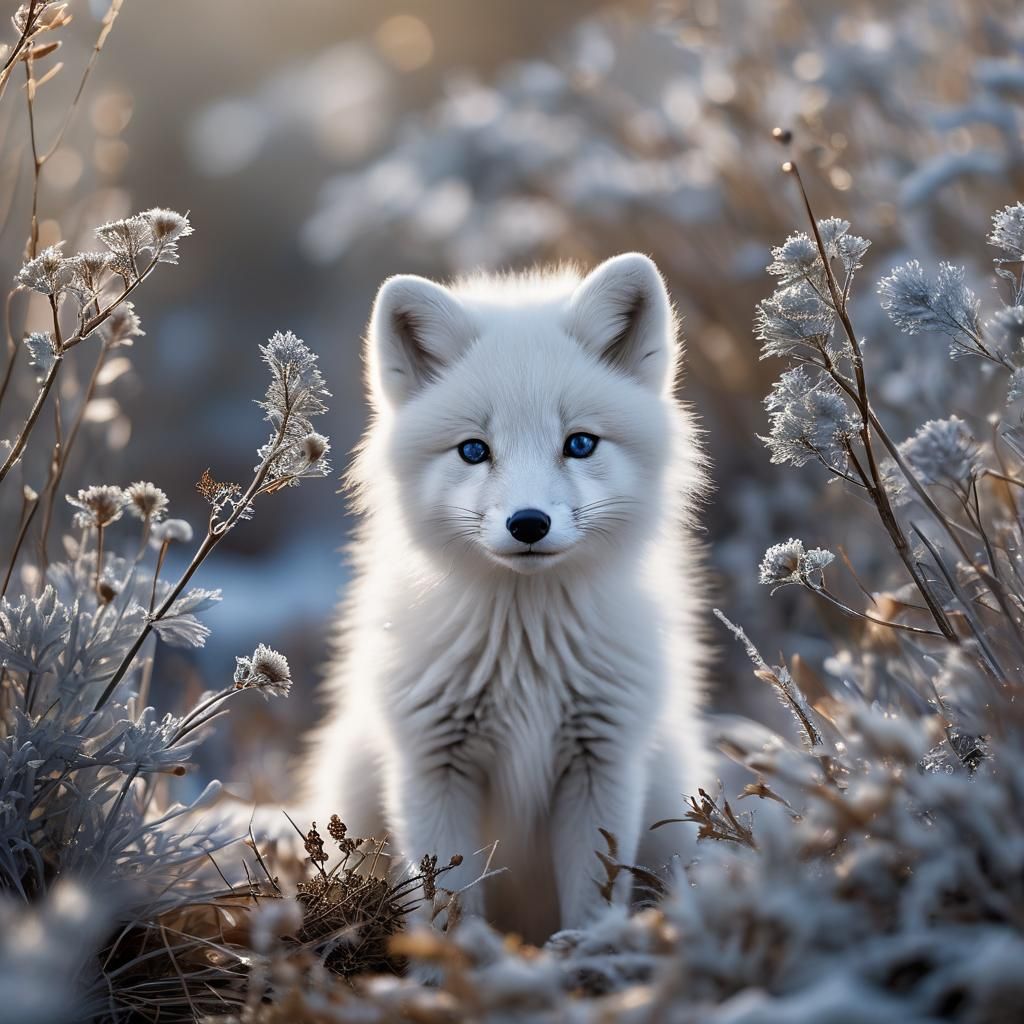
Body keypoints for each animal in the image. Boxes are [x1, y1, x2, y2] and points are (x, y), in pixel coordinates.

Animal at [302, 252, 709, 942]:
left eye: (579, 443)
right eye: (474, 450)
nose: (528, 524)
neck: (527, 656)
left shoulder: (602, 759)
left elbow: (597, 891)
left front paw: (588, 951)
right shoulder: (433, 762)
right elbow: (445, 898)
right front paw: (463, 960)